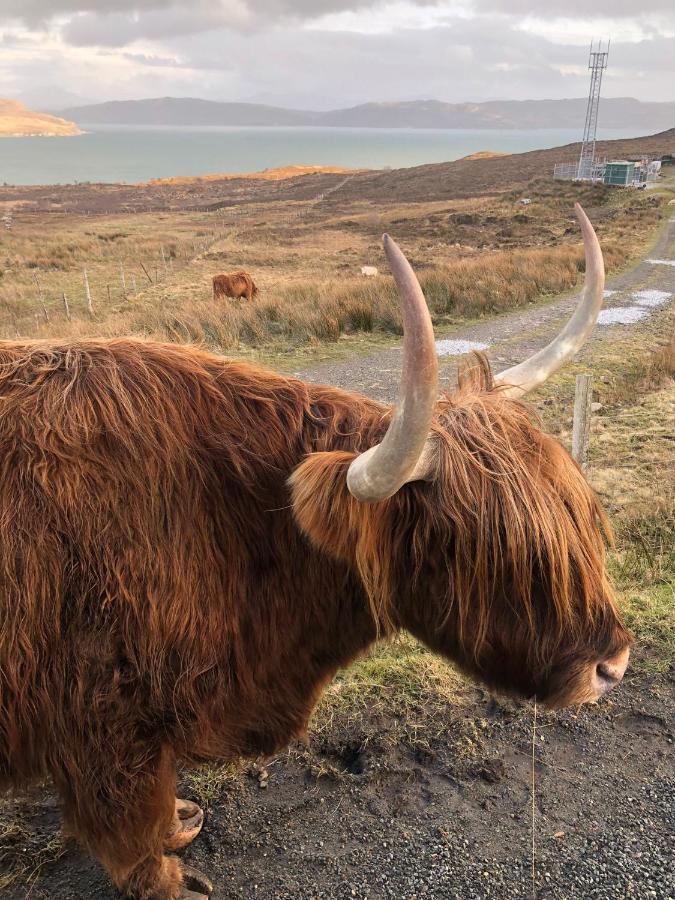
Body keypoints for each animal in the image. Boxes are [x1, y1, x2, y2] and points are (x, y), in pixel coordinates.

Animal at [1, 204, 632, 900]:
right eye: (493, 547)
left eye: (576, 516)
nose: (613, 665)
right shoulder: (106, 730)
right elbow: (132, 830)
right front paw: (171, 877)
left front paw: (181, 824)